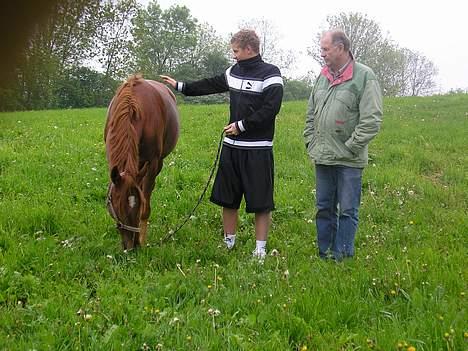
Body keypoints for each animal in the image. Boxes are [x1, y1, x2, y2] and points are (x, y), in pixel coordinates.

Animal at [105, 75, 180, 250]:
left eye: (138, 205)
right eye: (118, 206)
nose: (132, 246)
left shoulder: (152, 163)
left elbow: (146, 204)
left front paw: (142, 240)